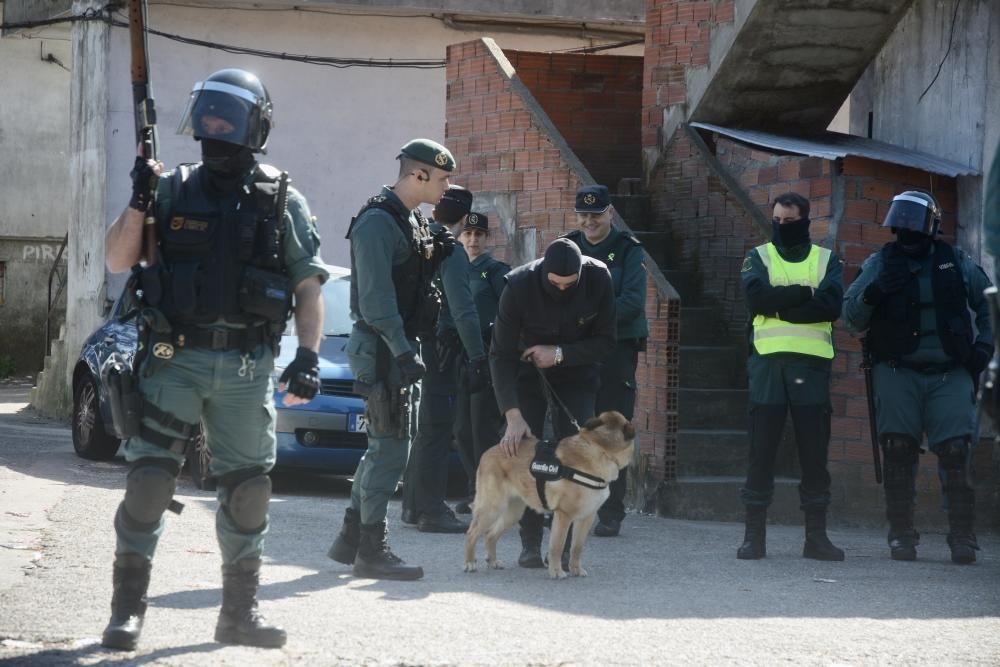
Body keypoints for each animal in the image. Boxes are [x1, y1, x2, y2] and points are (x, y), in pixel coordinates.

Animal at [464, 410, 636, 576]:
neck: (600, 449)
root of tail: (489, 451)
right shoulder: (563, 515)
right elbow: (557, 547)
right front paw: (556, 571)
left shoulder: (586, 517)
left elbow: (577, 548)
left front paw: (575, 569)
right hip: (492, 509)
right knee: (471, 533)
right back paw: (469, 562)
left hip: (513, 513)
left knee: (490, 535)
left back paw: (493, 561)